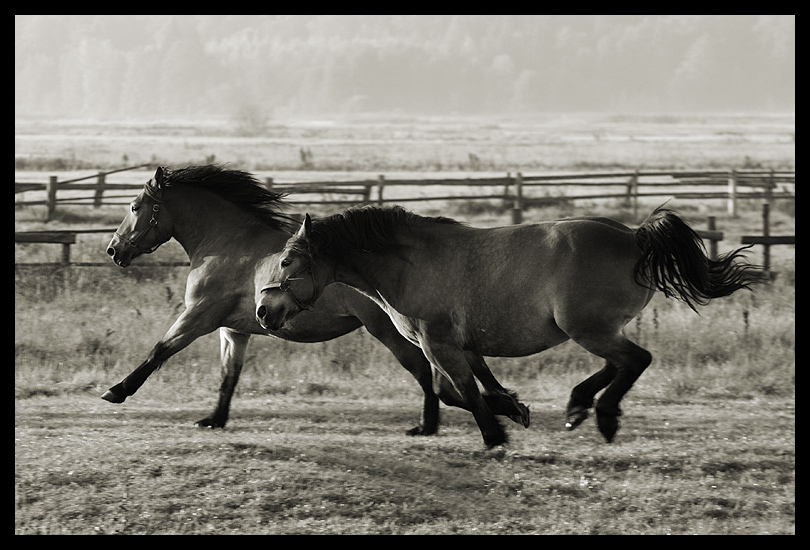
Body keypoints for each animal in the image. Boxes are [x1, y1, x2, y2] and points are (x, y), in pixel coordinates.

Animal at [102, 167, 532, 436]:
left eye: (135, 207)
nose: (114, 250)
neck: (227, 245)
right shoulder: (233, 331)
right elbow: (229, 376)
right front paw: (214, 420)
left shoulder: (198, 316)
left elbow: (159, 350)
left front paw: (117, 391)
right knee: (451, 374)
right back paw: (504, 407)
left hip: (389, 331)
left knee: (429, 375)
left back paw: (433, 424)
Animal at [254, 204, 764, 448]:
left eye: (288, 261)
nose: (263, 312)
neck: (409, 263)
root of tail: (633, 236)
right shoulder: (457, 345)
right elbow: (464, 388)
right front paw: (514, 408)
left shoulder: (438, 344)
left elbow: (461, 391)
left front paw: (495, 436)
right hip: (593, 330)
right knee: (618, 365)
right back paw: (578, 406)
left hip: (588, 329)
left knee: (635, 360)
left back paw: (603, 415)